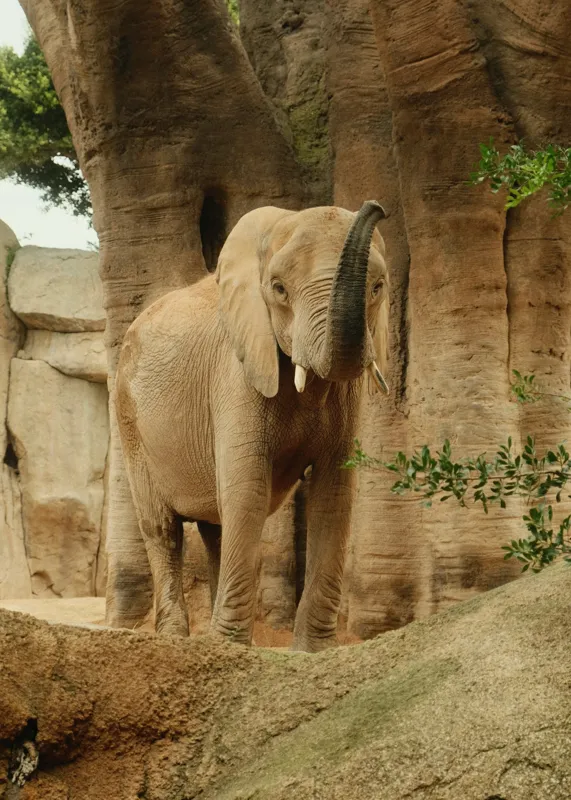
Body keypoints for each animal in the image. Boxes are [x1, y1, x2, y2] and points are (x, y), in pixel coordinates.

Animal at [114, 200, 390, 652]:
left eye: (378, 288)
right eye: (278, 289)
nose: (375, 207)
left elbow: (333, 494)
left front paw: (312, 652)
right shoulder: (235, 371)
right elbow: (249, 489)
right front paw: (229, 648)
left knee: (216, 527)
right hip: (128, 418)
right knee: (162, 528)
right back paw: (176, 639)